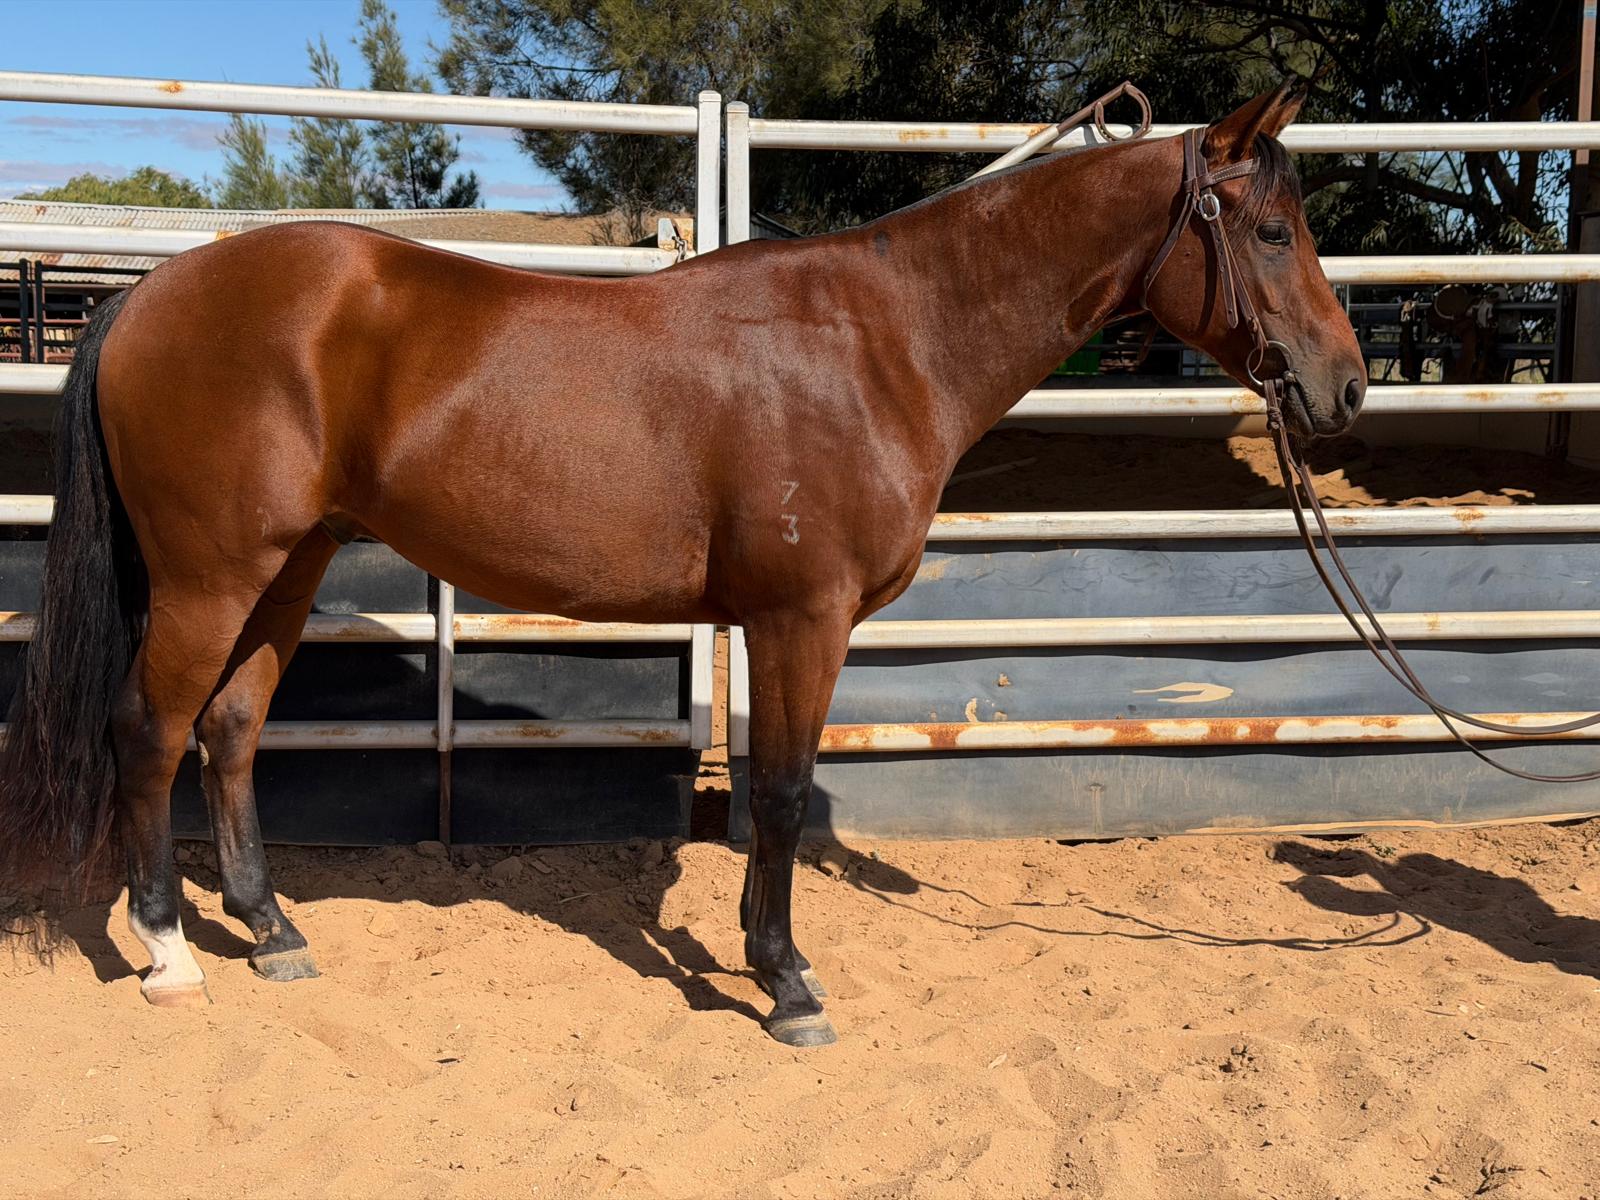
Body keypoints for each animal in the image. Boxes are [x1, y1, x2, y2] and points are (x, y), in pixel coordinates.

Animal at [0, 78, 1363, 1047]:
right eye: (1274, 231)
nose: (1344, 389)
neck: (884, 342)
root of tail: (148, 295)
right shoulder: (800, 617)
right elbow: (779, 791)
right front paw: (787, 983)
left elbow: (774, 790)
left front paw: (769, 960)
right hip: (211, 577)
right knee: (148, 731)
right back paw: (169, 952)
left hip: (288, 569)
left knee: (229, 732)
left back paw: (272, 929)